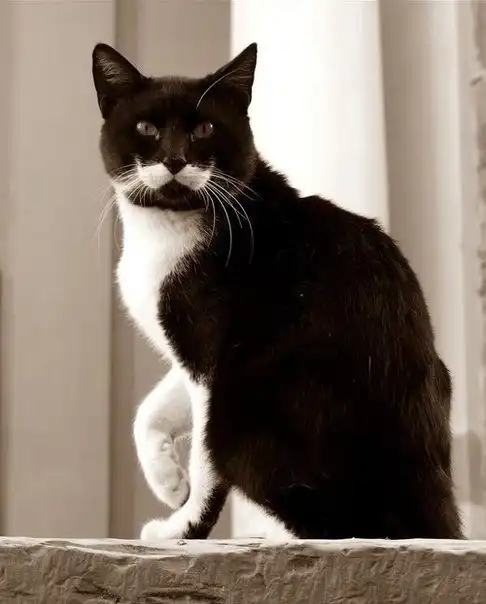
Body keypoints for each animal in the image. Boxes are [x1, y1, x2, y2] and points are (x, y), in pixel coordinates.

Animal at [92, 42, 463, 540]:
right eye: (146, 128)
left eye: (205, 128)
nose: (174, 159)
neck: (169, 226)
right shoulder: (192, 352)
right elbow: (148, 409)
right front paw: (168, 481)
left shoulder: (210, 352)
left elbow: (206, 459)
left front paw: (183, 528)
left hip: (254, 408)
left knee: (339, 524)